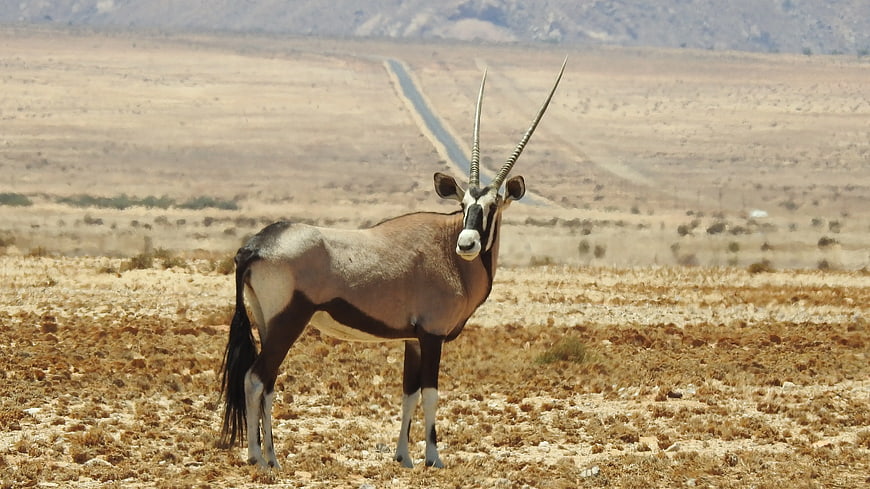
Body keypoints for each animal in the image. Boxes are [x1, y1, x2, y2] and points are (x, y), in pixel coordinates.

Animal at [220, 59, 566, 469]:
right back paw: (260, 456)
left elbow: (408, 394)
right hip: (288, 321)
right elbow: (430, 393)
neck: (446, 250)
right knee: (257, 378)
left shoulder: (412, 340)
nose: (467, 243)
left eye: (491, 206)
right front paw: (433, 456)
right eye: (464, 204)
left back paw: (268, 453)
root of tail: (254, 246)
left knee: (264, 381)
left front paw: (403, 456)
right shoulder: (431, 336)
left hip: (266, 321)